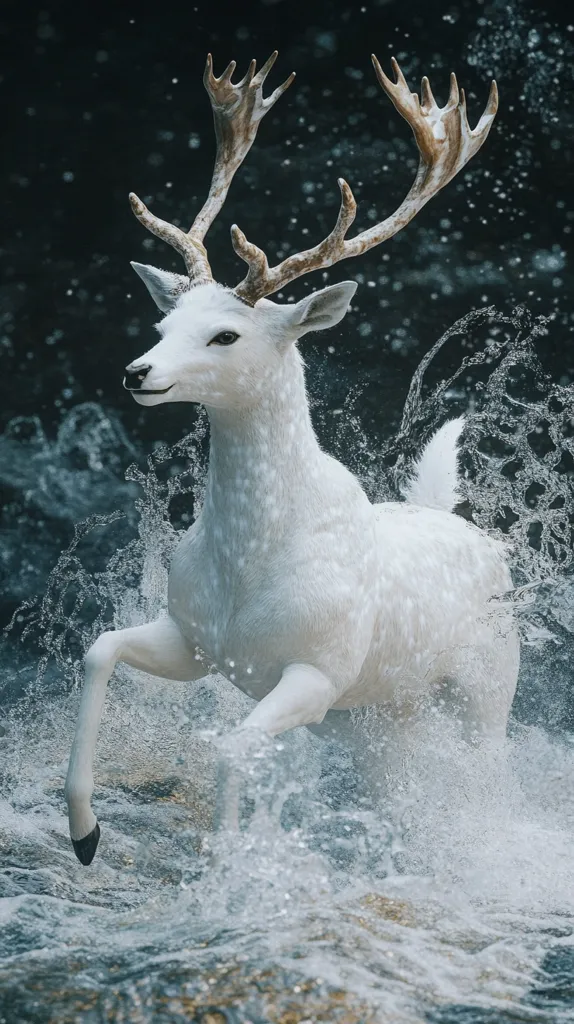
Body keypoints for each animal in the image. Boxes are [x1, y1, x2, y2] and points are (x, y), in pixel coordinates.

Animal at [64, 50, 519, 866]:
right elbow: (98, 651)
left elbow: (230, 746)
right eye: (165, 322)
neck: (249, 557)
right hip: (376, 713)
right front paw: (85, 833)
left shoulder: (315, 668)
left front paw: (230, 862)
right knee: (395, 781)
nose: (137, 373)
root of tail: (465, 528)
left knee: (493, 779)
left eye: (226, 336)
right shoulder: (196, 641)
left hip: (484, 689)